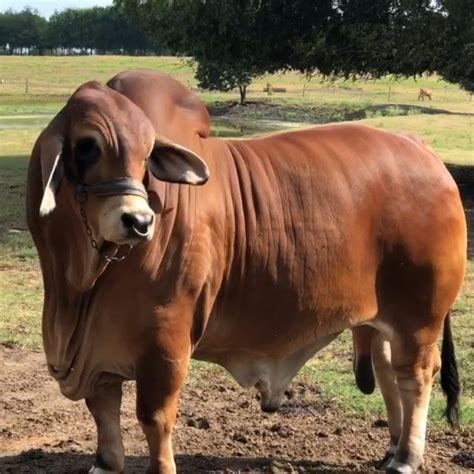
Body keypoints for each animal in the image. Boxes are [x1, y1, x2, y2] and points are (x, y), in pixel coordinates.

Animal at [24, 68, 464, 472]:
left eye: (147, 154)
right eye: (87, 146)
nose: (140, 221)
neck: (78, 285)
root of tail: (424, 151)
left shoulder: (166, 339)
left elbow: (154, 417)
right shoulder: (97, 349)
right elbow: (103, 409)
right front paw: (106, 463)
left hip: (419, 315)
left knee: (416, 376)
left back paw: (406, 456)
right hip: (384, 318)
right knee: (389, 372)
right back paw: (392, 446)